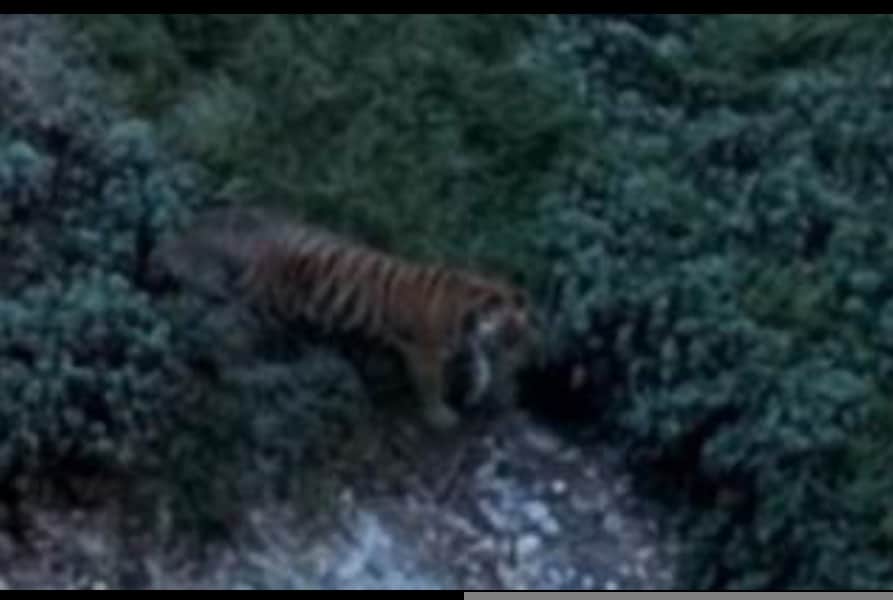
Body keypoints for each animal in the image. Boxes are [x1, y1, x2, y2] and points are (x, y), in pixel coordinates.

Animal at [149, 206, 541, 430]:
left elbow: (480, 365)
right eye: (510, 328)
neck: (468, 316)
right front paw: (440, 416)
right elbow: (431, 384)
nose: (515, 348)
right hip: (262, 307)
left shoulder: (466, 343)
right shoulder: (423, 350)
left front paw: (476, 389)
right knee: (228, 335)